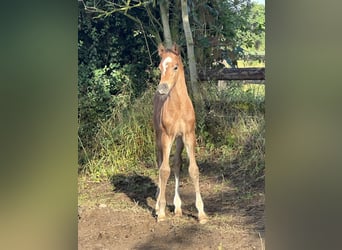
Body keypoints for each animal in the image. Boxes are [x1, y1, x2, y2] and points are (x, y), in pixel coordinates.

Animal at [153, 44, 207, 224]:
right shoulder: (166, 136)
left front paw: (201, 213)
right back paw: (157, 205)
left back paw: (177, 208)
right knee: (160, 163)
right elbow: (164, 170)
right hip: (159, 137)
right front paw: (162, 212)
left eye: (175, 67)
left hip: (178, 140)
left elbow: (193, 170)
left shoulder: (188, 135)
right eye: (159, 67)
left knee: (177, 163)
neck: (179, 106)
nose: (162, 89)